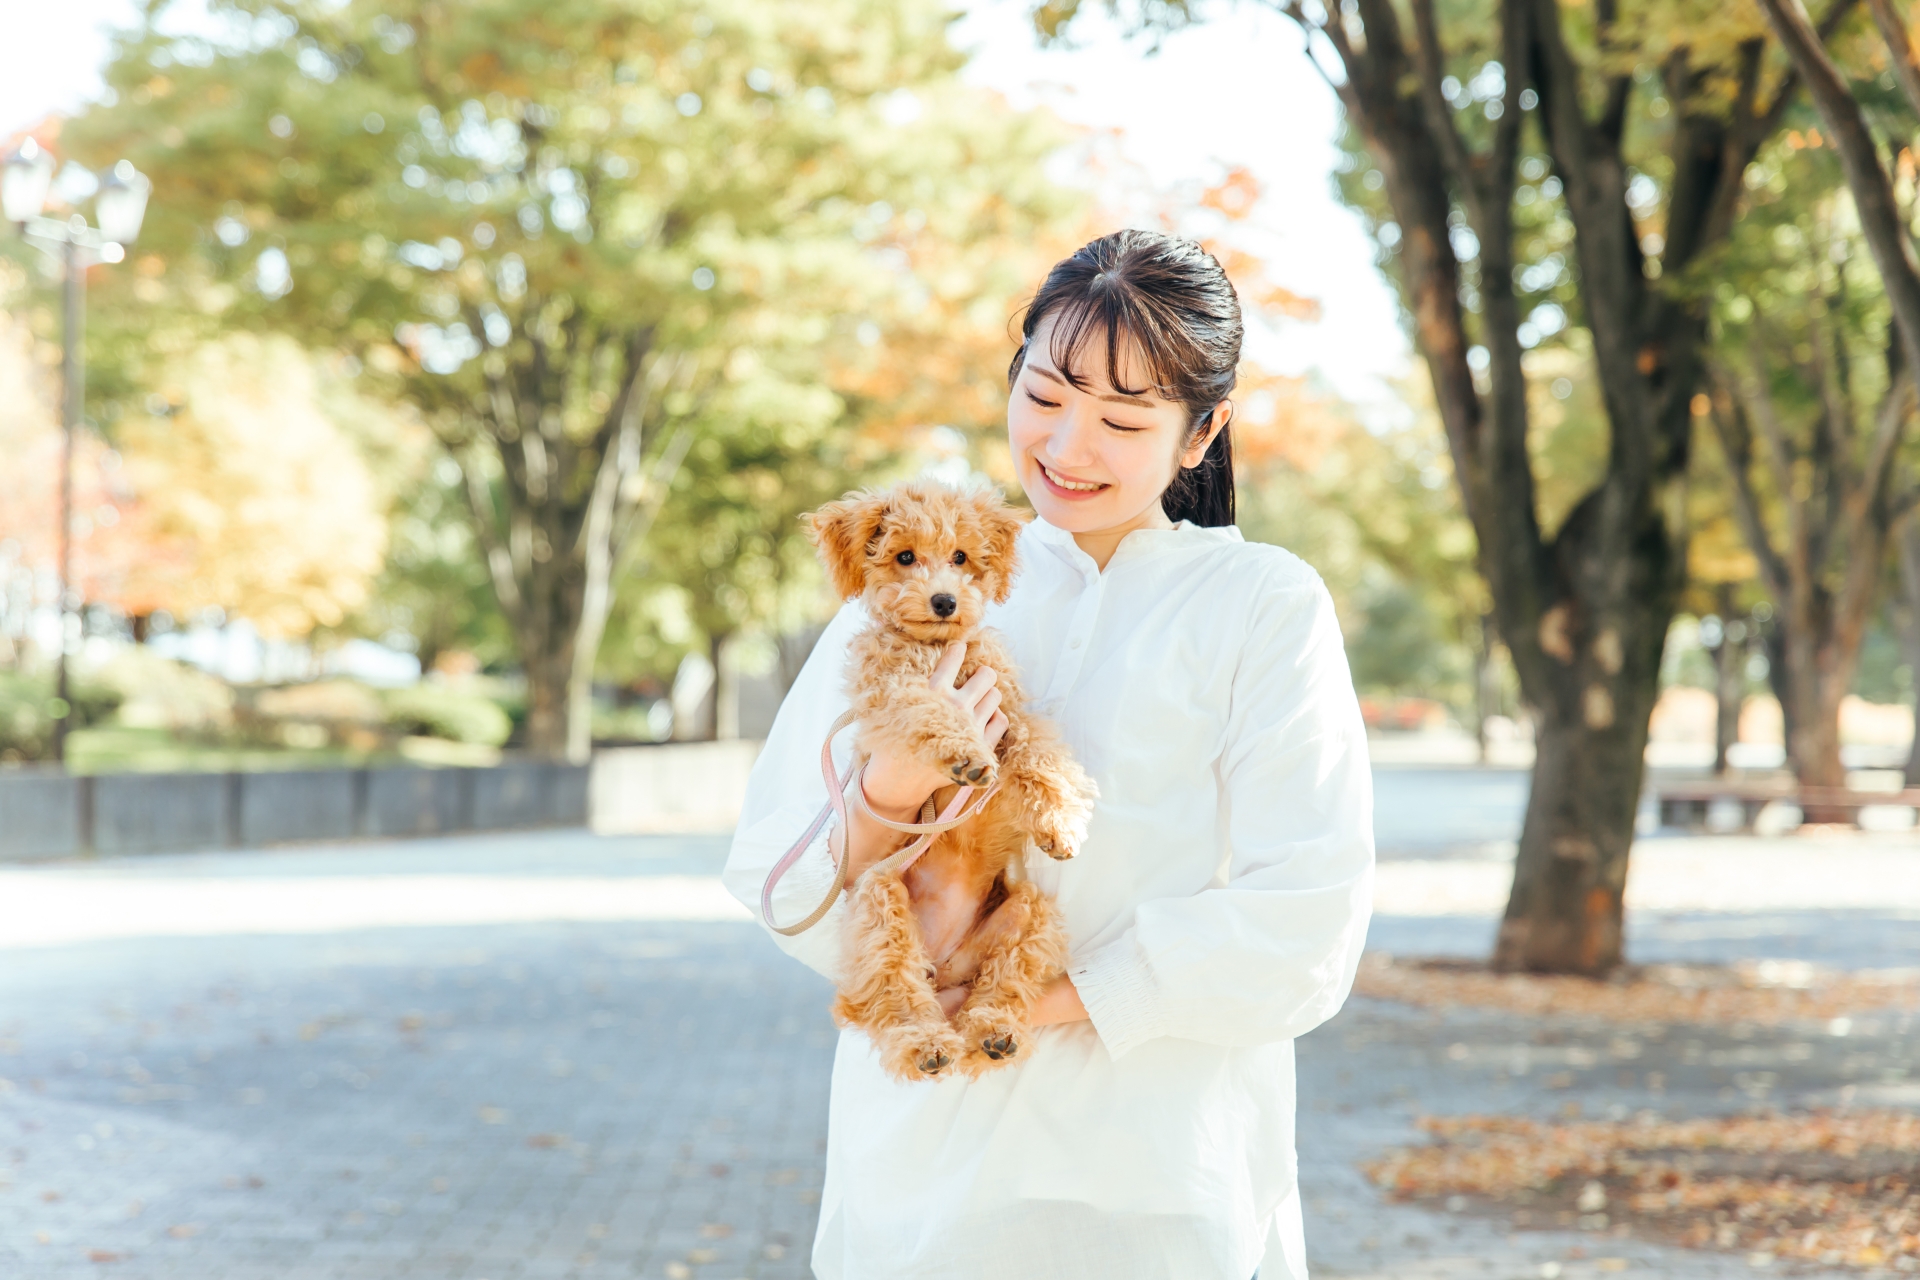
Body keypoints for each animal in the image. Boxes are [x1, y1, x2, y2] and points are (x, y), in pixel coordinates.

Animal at [802, 479, 1098, 1082]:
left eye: (961, 557)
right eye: (904, 557)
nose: (944, 601)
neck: (936, 648)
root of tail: (941, 963)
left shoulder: (1010, 711)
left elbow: (1041, 757)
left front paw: (1059, 822)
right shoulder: (890, 695)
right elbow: (930, 709)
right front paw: (964, 753)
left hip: (1029, 916)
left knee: (1004, 983)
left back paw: (995, 1033)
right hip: (878, 901)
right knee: (893, 992)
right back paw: (925, 1044)